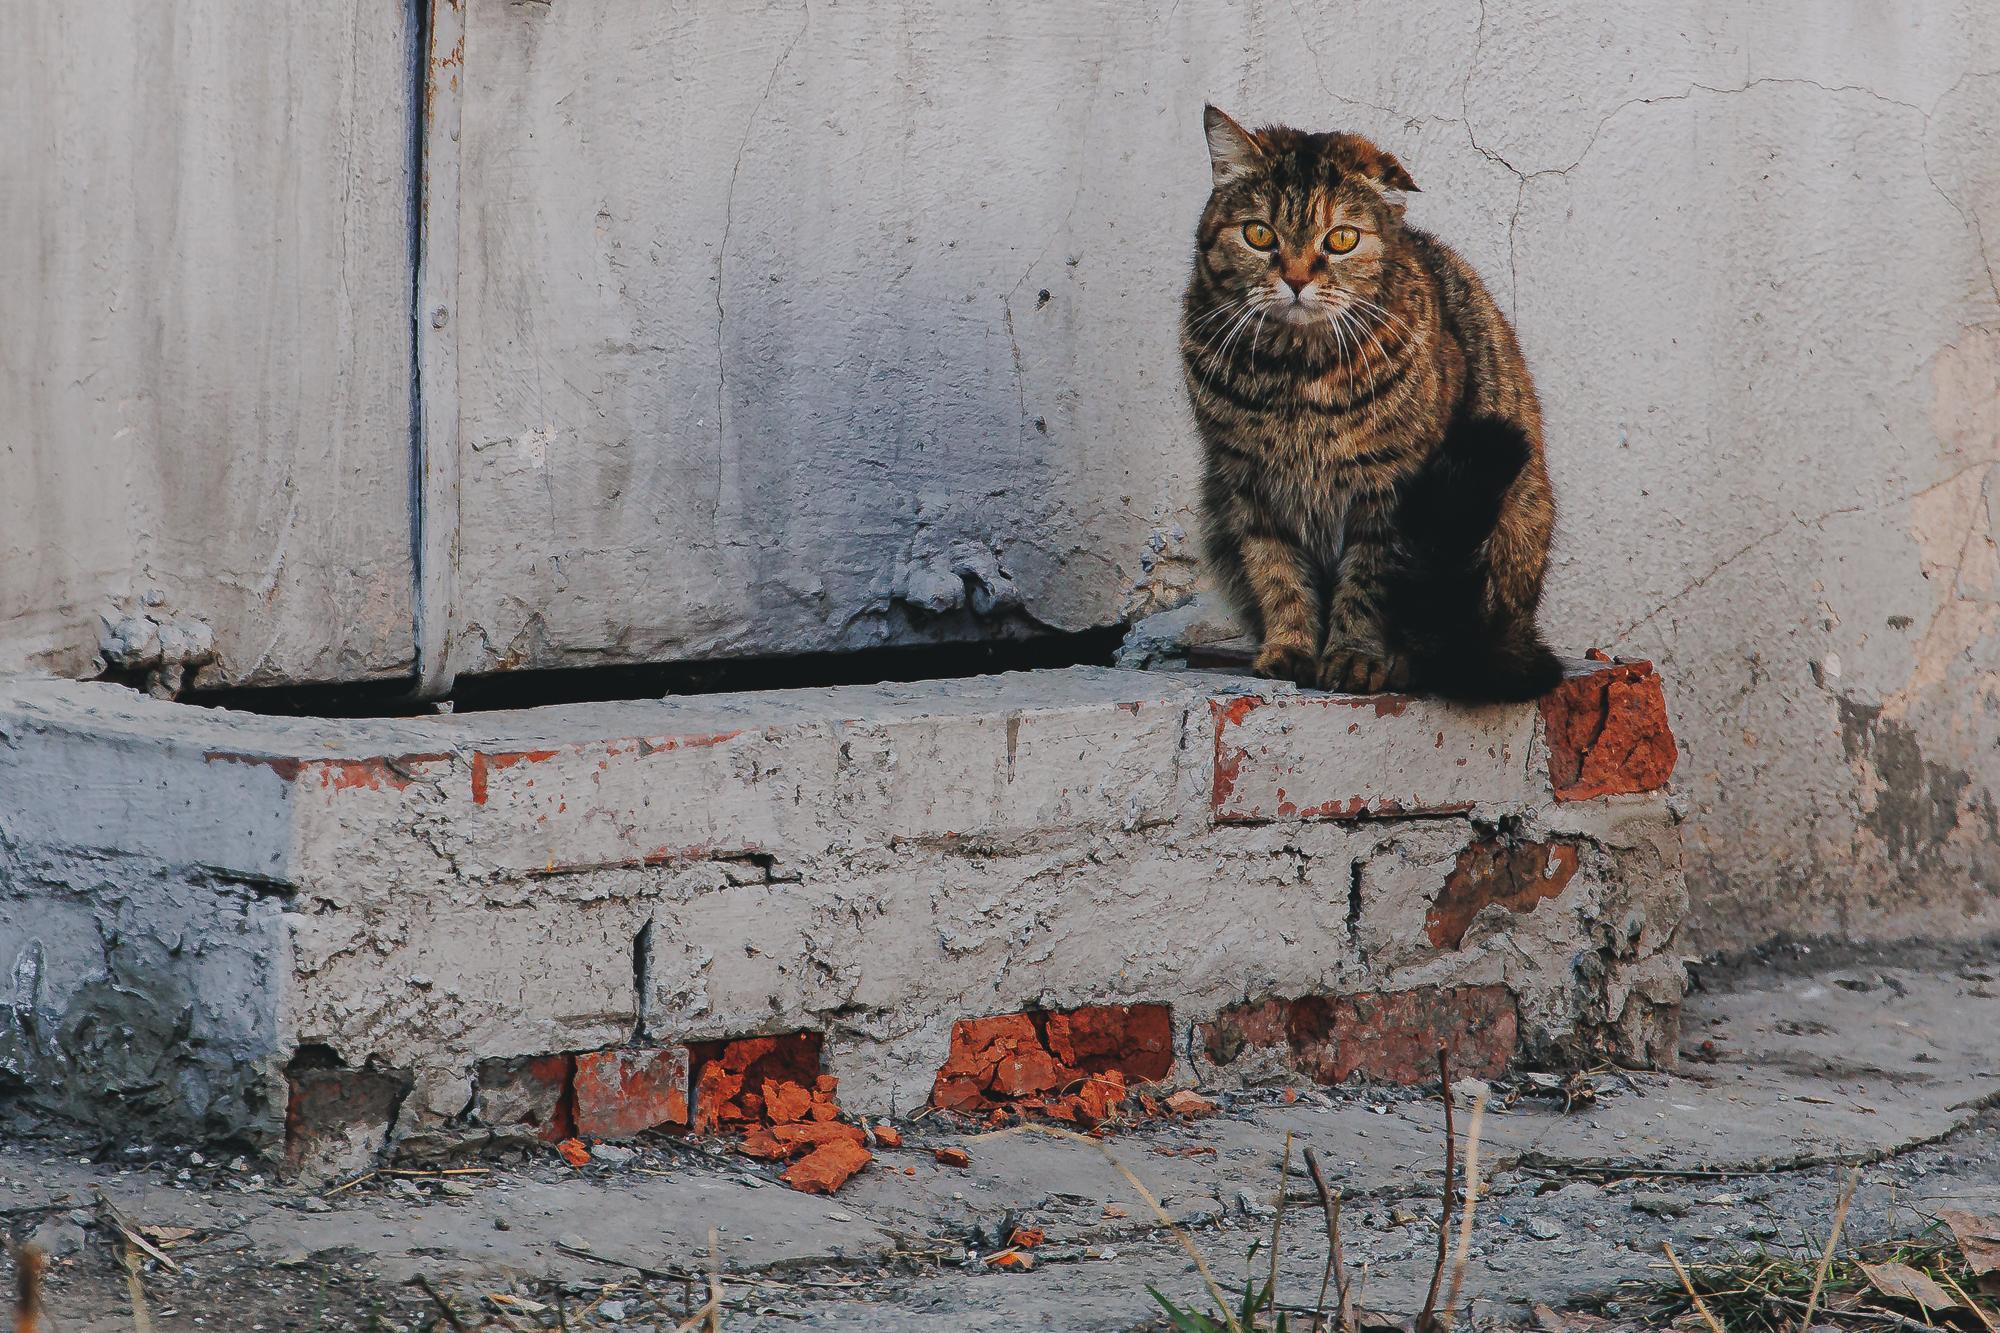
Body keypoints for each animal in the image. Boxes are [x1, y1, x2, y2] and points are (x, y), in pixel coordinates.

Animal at [1168, 104, 1560, 700]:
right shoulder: (1245, 484)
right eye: (1259, 234)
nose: (1296, 279)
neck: (1295, 379)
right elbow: (1276, 571)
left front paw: (1354, 657)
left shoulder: (1388, 488)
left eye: (1342, 239)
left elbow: (1367, 582)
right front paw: (1289, 648)